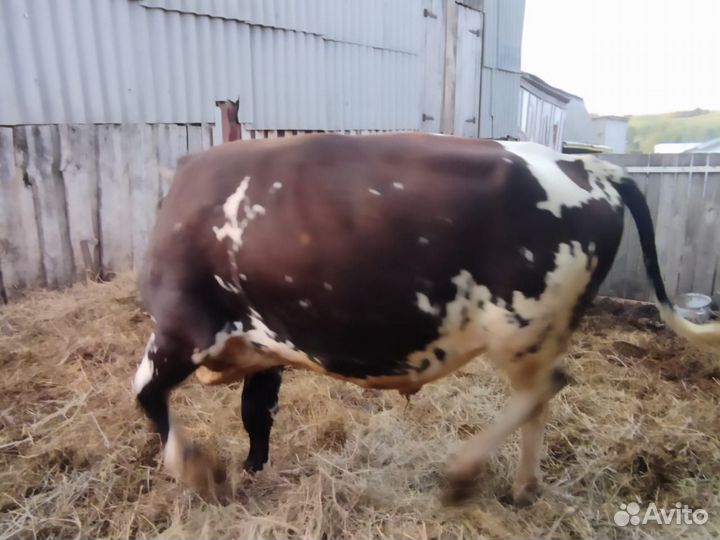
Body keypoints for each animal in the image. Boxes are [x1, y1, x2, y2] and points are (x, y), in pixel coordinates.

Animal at [132, 133, 720, 506]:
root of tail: (586, 166)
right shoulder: (262, 342)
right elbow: (256, 413)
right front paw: (252, 469)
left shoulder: (184, 327)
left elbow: (146, 395)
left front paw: (198, 471)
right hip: (544, 331)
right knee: (540, 399)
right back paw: (523, 490)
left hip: (520, 326)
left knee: (543, 387)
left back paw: (462, 476)